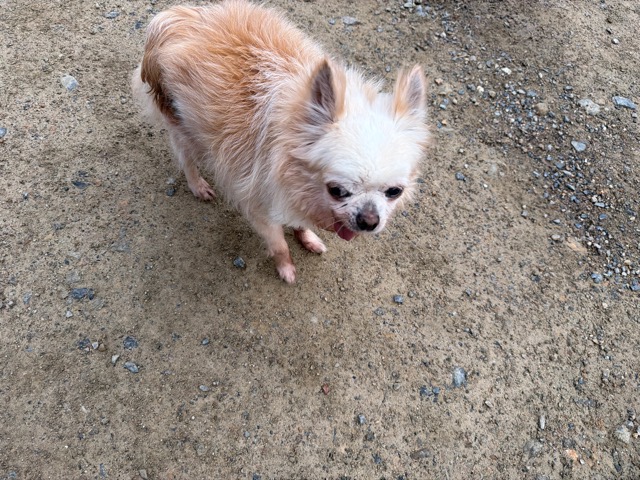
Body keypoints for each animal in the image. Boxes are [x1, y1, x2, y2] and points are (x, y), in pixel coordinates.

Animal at [132, 0, 429, 283]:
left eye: (394, 192)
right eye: (337, 190)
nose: (369, 220)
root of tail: (175, 19)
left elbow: (300, 224)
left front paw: (307, 238)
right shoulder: (259, 206)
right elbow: (279, 245)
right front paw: (286, 268)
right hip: (181, 123)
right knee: (187, 159)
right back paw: (198, 186)